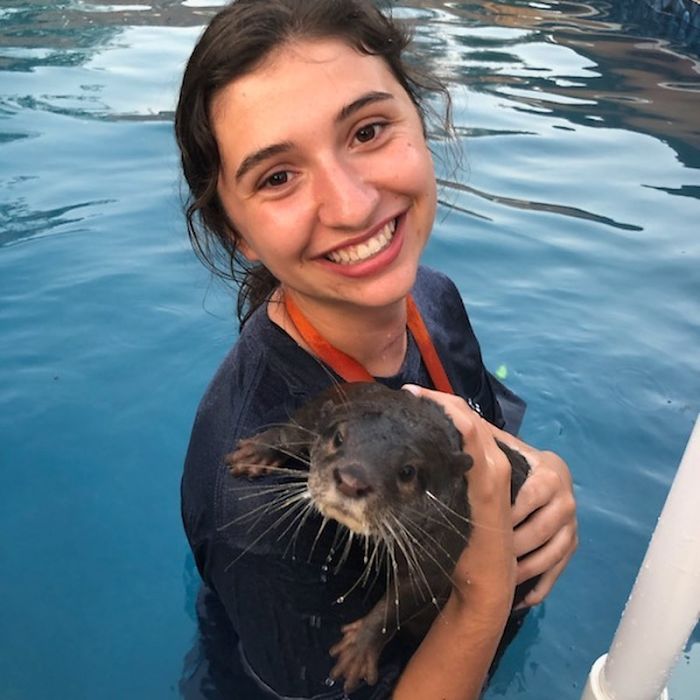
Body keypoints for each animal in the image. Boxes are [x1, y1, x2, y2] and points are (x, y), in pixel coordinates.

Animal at [225, 382, 531, 691]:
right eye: (338, 437)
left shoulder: (446, 536)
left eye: (407, 471)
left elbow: (410, 594)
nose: (352, 480)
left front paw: (360, 647)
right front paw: (259, 450)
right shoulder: (347, 393)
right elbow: (301, 422)